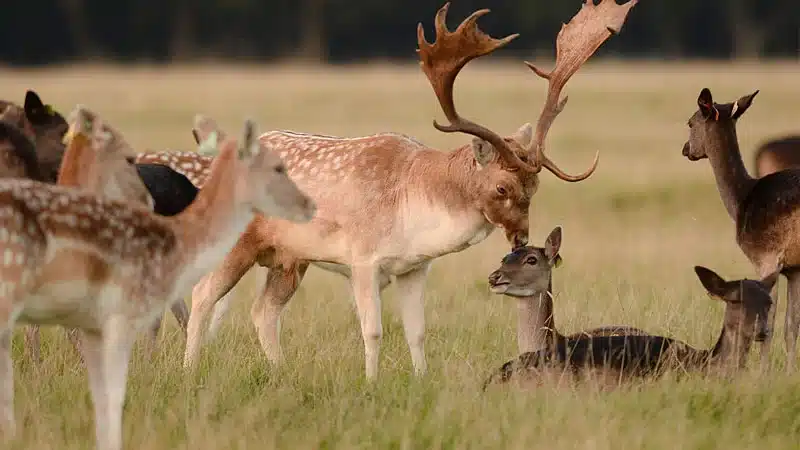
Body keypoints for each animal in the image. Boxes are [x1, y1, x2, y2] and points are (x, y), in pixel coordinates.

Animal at [681, 88, 800, 370]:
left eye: (690, 122)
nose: (686, 149)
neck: (740, 200)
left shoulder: (767, 258)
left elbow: (770, 324)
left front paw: (763, 373)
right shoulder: (794, 270)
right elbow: (792, 327)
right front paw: (790, 373)